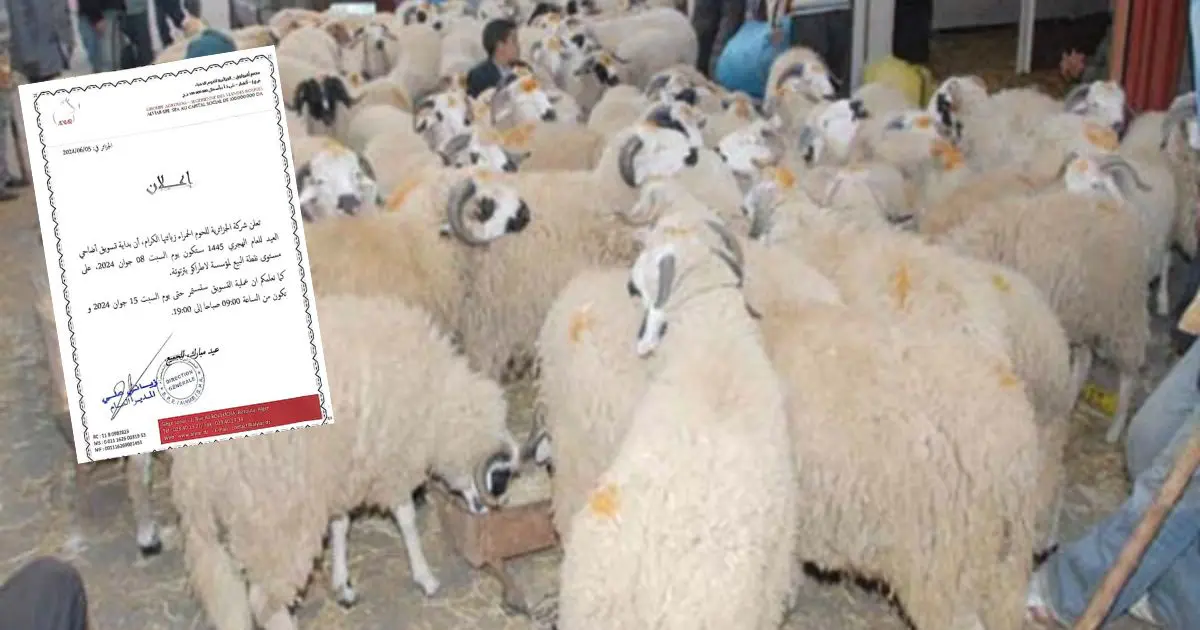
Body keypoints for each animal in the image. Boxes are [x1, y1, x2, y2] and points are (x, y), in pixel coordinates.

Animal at [171, 294, 525, 630]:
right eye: (501, 476)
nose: (488, 509)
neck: (438, 403)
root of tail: (195, 465)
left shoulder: (342, 469)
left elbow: (340, 524)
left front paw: (342, 582)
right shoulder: (392, 459)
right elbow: (406, 519)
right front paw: (425, 576)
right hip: (278, 515)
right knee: (264, 601)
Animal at [932, 152, 1150, 445]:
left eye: (1096, 182)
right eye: (1066, 177)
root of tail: (1121, 207)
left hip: (1123, 309)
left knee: (1129, 372)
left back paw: (1115, 429)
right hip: (1080, 311)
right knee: (1084, 360)